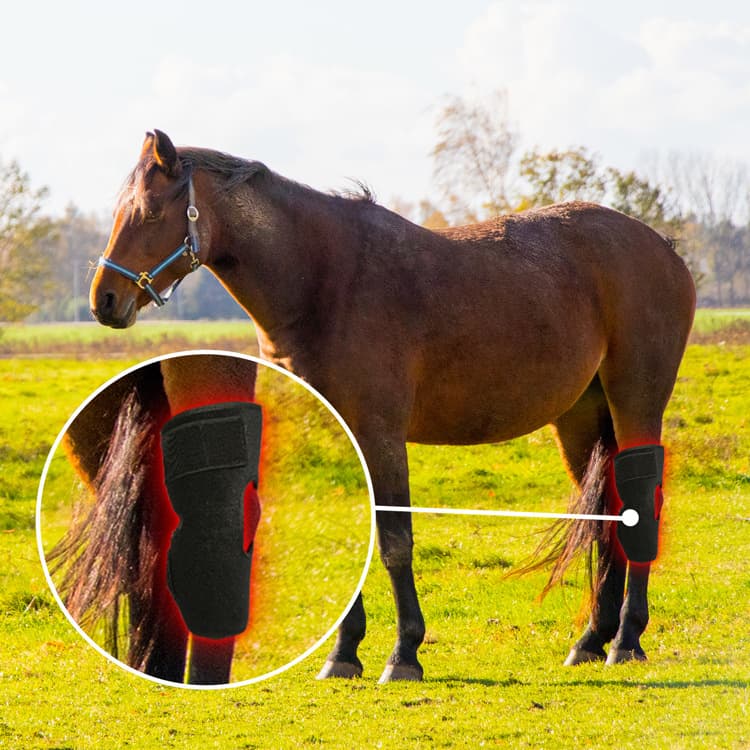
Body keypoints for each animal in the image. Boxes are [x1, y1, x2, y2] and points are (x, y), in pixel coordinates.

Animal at [86, 129, 696, 683]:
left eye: (147, 212)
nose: (104, 300)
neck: (326, 280)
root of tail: (664, 249)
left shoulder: (380, 433)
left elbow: (396, 541)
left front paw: (403, 654)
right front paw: (342, 656)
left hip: (636, 402)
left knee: (640, 505)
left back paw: (627, 640)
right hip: (580, 418)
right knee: (608, 512)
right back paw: (592, 640)